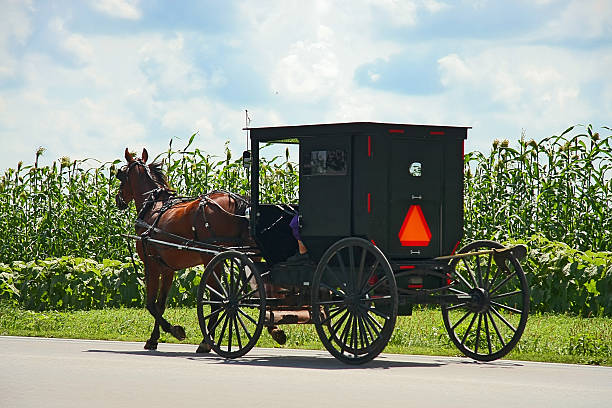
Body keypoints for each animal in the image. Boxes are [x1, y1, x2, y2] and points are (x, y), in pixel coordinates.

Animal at [115, 148, 286, 352]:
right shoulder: (168, 269)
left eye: (120, 175)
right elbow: (161, 304)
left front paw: (174, 331)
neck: (153, 208)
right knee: (261, 290)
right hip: (249, 256)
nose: (118, 200)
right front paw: (154, 338)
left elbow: (150, 304)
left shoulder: (152, 265)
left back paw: (207, 341)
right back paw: (274, 329)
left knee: (218, 299)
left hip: (211, 258)